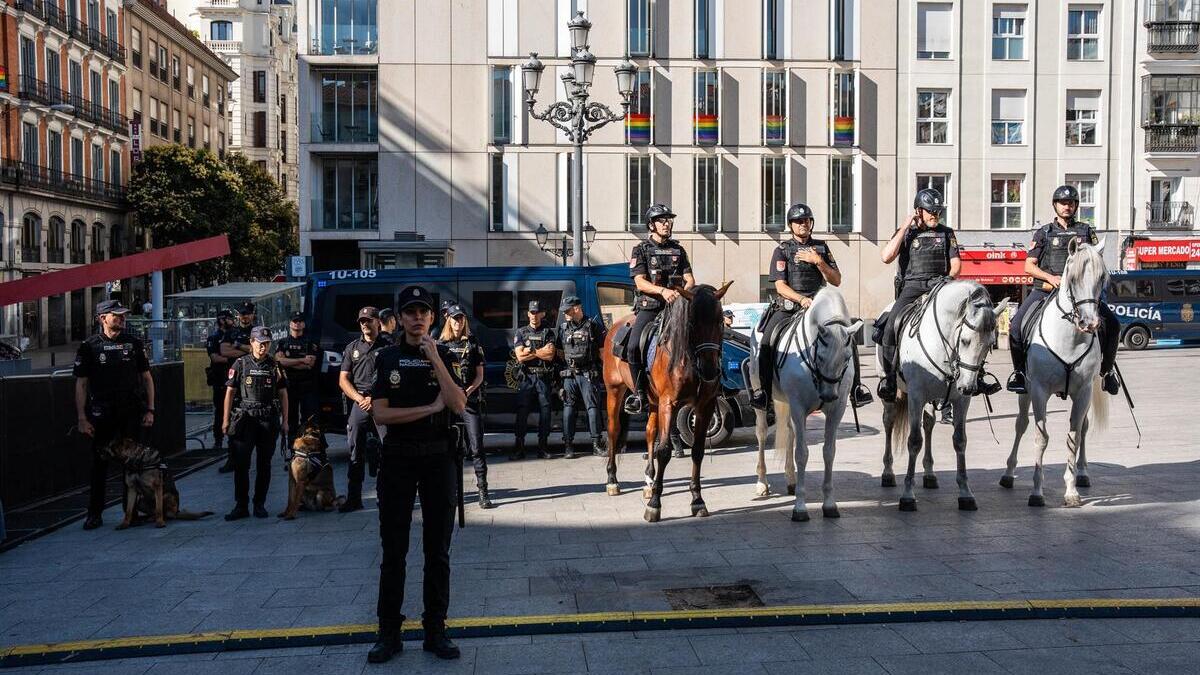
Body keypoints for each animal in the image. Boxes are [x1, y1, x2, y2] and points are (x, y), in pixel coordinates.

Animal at [600, 278, 729, 521]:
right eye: (692, 323)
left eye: (720, 322)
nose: (709, 370)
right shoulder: (669, 404)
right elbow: (664, 450)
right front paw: (654, 505)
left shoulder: (704, 406)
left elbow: (697, 451)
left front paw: (697, 500)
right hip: (614, 391)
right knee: (613, 431)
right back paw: (612, 480)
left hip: (652, 401)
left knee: (650, 432)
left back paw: (649, 480)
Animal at [748, 283, 864, 521]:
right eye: (820, 356)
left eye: (848, 358)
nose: (828, 396)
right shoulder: (799, 407)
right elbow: (802, 453)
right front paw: (800, 508)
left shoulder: (836, 410)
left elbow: (829, 452)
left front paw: (829, 504)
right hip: (763, 399)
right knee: (762, 434)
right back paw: (762, 483)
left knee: (790, 432)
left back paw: (791, 480)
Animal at [878, 278, 1008, 509]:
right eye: (965, 340)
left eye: (990, 344)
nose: (969, 387)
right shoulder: (916, 396)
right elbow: (914, 441)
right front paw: (908, 495)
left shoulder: (961, 400)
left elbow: (960, 440)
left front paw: (965, 493)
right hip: (893, 396)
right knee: (889, 422)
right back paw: (888, 472)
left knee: (929, 423)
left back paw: (929, 474)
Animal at [998, 239, 1108, 506]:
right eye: (1073, 278)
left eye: (1102, 277)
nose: (1090, 323)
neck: (1070, 339)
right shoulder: (1039, 390)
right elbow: (1041, 437)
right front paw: (1037, 491)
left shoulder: (1083, 393)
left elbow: (1074, 436)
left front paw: (1071, 491)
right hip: (1025, 391)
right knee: (1021, 425)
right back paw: (1008, 473)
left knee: (1084, 427)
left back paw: (1083, 473)